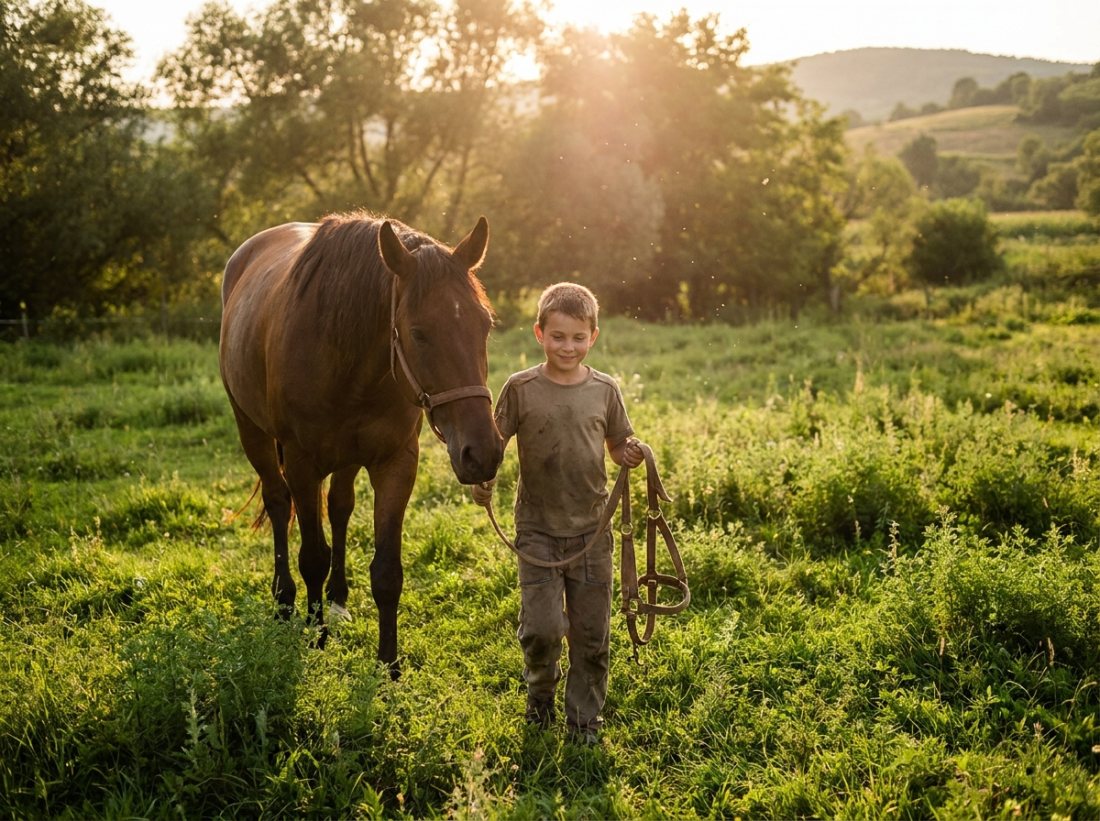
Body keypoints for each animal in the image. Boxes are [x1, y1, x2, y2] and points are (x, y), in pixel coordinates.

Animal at [219, 212, 503, 673]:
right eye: (418, 333)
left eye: (485, 325)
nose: (482, 452)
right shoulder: (301, 463)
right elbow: (312, 556)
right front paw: (315, 635)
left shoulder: (396, 463)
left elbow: (387, 571)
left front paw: (388, 665)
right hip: (253, 432)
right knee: (279, 505)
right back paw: (285, 603)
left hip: (347, 457)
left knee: (339, 507)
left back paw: (337, 600)